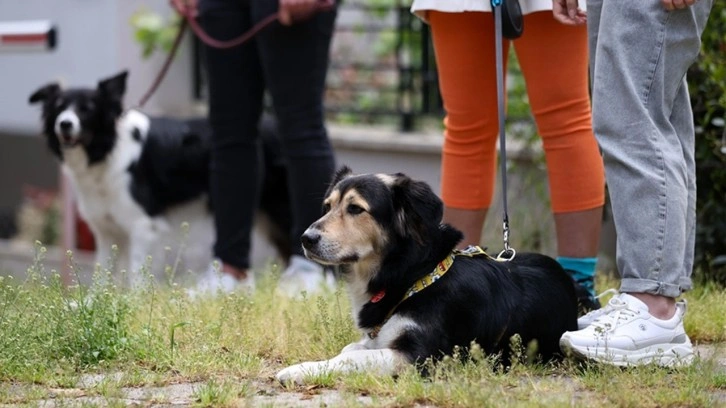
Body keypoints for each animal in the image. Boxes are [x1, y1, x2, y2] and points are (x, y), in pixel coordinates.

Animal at [30, 71, 292, 286]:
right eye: (59, 107)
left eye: (87, 108)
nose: (64, 123)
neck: (107, 151)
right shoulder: (106, 230)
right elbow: (101, 274)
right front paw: (92, 304)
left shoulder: (142, 225)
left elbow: (135, 277)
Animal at [278, 167, 580, 384]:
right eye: (328, 206)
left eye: (355, 209)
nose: (306, 239)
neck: (413, 274)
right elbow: (350, 349)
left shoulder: (420, 356)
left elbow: (351, 359)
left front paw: (300, 370)